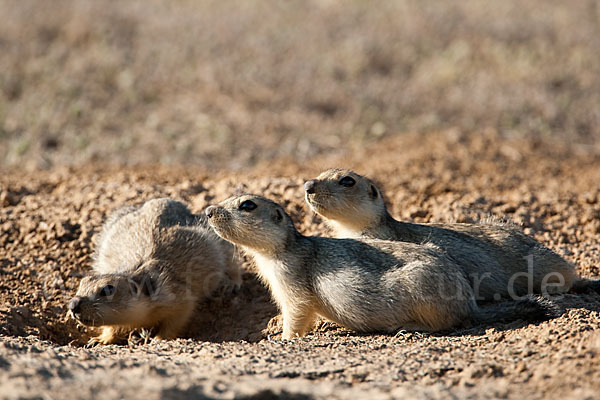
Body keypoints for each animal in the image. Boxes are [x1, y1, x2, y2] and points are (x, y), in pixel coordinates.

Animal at [68, 197, 241, 344]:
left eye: (108, 289)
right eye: (82, 283)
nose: (72, 305)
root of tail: (165, 200)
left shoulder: (178, 297)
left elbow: (177, 320)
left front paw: (159, 338)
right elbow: (111, 327)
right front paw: (99, 340)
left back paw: (231, 284)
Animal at [205, 195, 556, 340]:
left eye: (247, 204)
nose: (207, 210)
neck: (282, 249)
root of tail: (469, 303)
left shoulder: (291, 280)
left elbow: (298, 311)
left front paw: (282, 337)